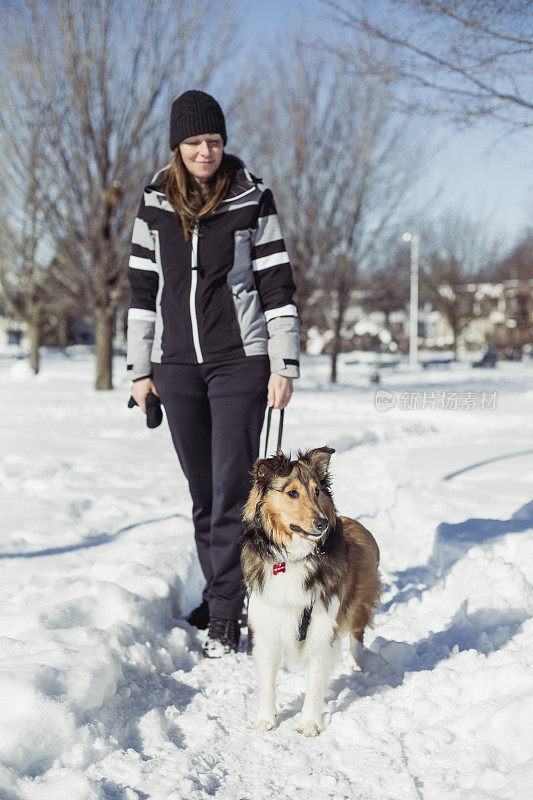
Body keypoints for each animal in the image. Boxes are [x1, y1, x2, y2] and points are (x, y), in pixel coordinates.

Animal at [239, 446, 380, 736]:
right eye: (292, 493)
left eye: (317, 491)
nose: (322, 523)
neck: (293, 558)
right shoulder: (267, 626)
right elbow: (267, 683)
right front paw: (266, 720)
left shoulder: (321, 628)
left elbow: (315, 684)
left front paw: (309, 724)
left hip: (359, 603)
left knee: (357, 634)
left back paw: (356, 664)